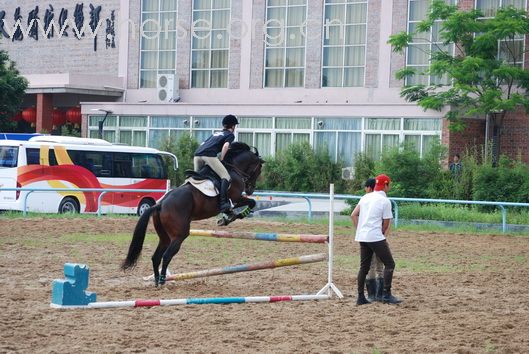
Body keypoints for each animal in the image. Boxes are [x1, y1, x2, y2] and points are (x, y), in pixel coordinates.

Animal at [122, 142, 264, 286]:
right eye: (259, 169)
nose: (250, 189)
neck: (233, 168)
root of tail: (160, 205)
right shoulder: (236, 198)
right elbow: (251, 202)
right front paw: (236, 215)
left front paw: (226, 218)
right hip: (179, 235)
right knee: (166, 256)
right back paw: (162, 281)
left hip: (165, 237)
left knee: (156, 257)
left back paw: (157, 282)